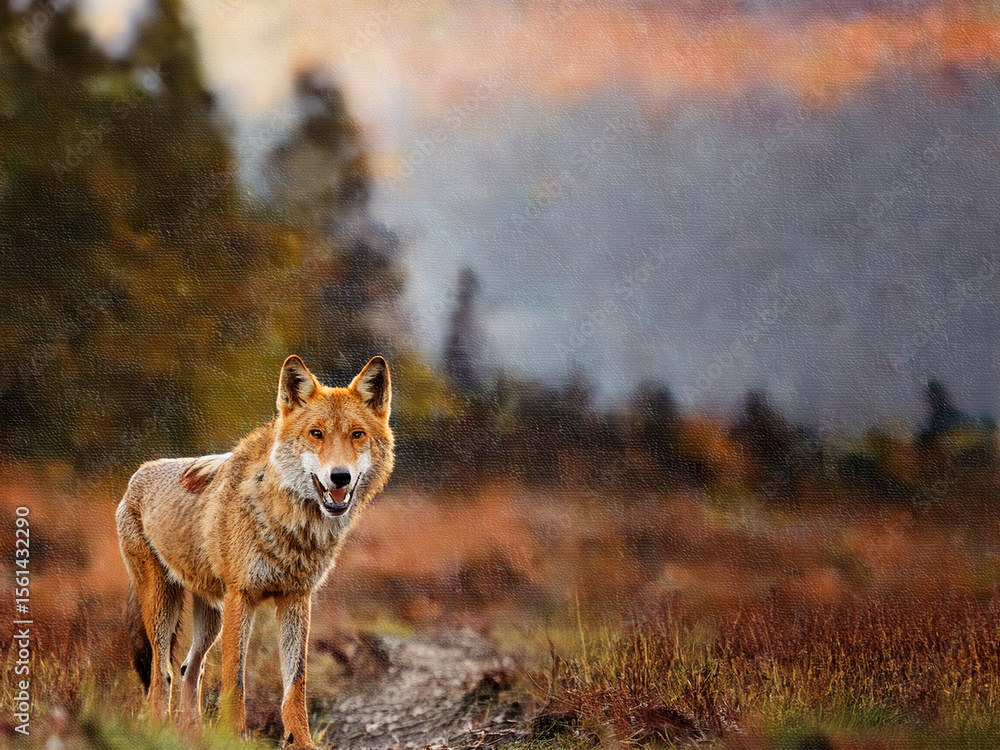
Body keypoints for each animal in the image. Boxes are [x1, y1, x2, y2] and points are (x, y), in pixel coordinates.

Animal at [116, 355, 393, 749]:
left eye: (357, 434)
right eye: (316, 434)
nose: (339, 476)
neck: (291, 526)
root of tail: (138, 473)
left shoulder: (296, 599)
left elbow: (296, 683)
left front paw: (300, 741)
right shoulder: (241, 596)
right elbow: (236, 682)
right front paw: (234, 738)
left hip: (210, 617)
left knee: (189, 669)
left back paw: (192, 736)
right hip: (164, 606)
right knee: (161, 675)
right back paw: (160, 733)